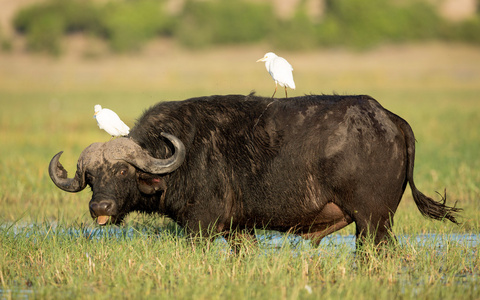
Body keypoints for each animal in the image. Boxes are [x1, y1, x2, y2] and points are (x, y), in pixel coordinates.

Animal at [48, 94, 462, 248]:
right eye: (91, 179)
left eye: (122, 173)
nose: (100, 208)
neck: (180, 157)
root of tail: (390, 119)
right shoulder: (239, 230)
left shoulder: (200, 226)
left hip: (372, 221)